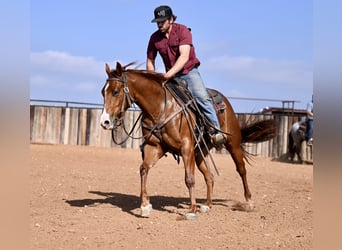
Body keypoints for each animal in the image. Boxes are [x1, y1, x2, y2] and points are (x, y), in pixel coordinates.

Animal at [99, 62, 276, 219]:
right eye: (103, 92)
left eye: (116, 91)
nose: (105, 122)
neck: (161, 107)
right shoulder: (155, 147)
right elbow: (143, 169)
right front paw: (145, 206)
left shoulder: (186, 147)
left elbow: (189, 179)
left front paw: (191, 209)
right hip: (200, 153)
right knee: (209, 176)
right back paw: (207, 205)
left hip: (233, 144)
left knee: (241, 170)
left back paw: (248, 202)